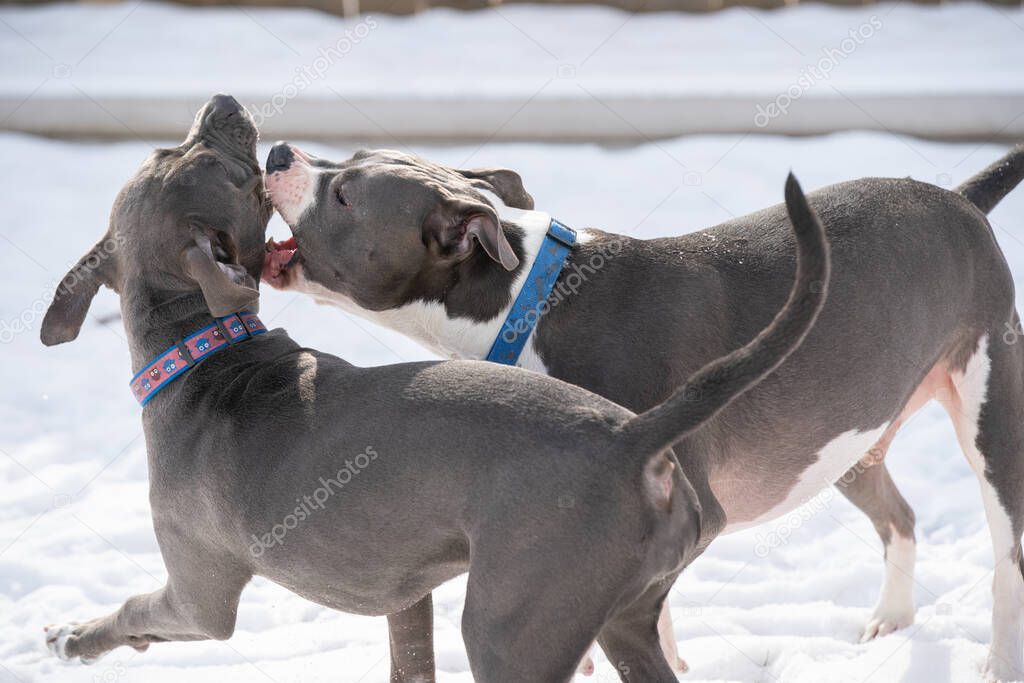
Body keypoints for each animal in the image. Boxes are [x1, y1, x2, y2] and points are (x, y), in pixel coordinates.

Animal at [39, 94, 831, 683]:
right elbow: (409, 660)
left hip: (512, 627)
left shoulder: (199, 598)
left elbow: (134, 611)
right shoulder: (406, 592)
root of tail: (632, 436)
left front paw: (72, 636)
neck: (204, 351)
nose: (229, 107)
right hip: (624, 617)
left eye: (193, 159)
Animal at [262, 141, 1024, 679]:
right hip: (843, 434)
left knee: (1007, 551)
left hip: (990, 412)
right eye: (347, 161)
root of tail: (958, 199)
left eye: (345, 193)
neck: (531, 297)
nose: (278, 154)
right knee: (900, 515)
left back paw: (997, 660)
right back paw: (892, 619)